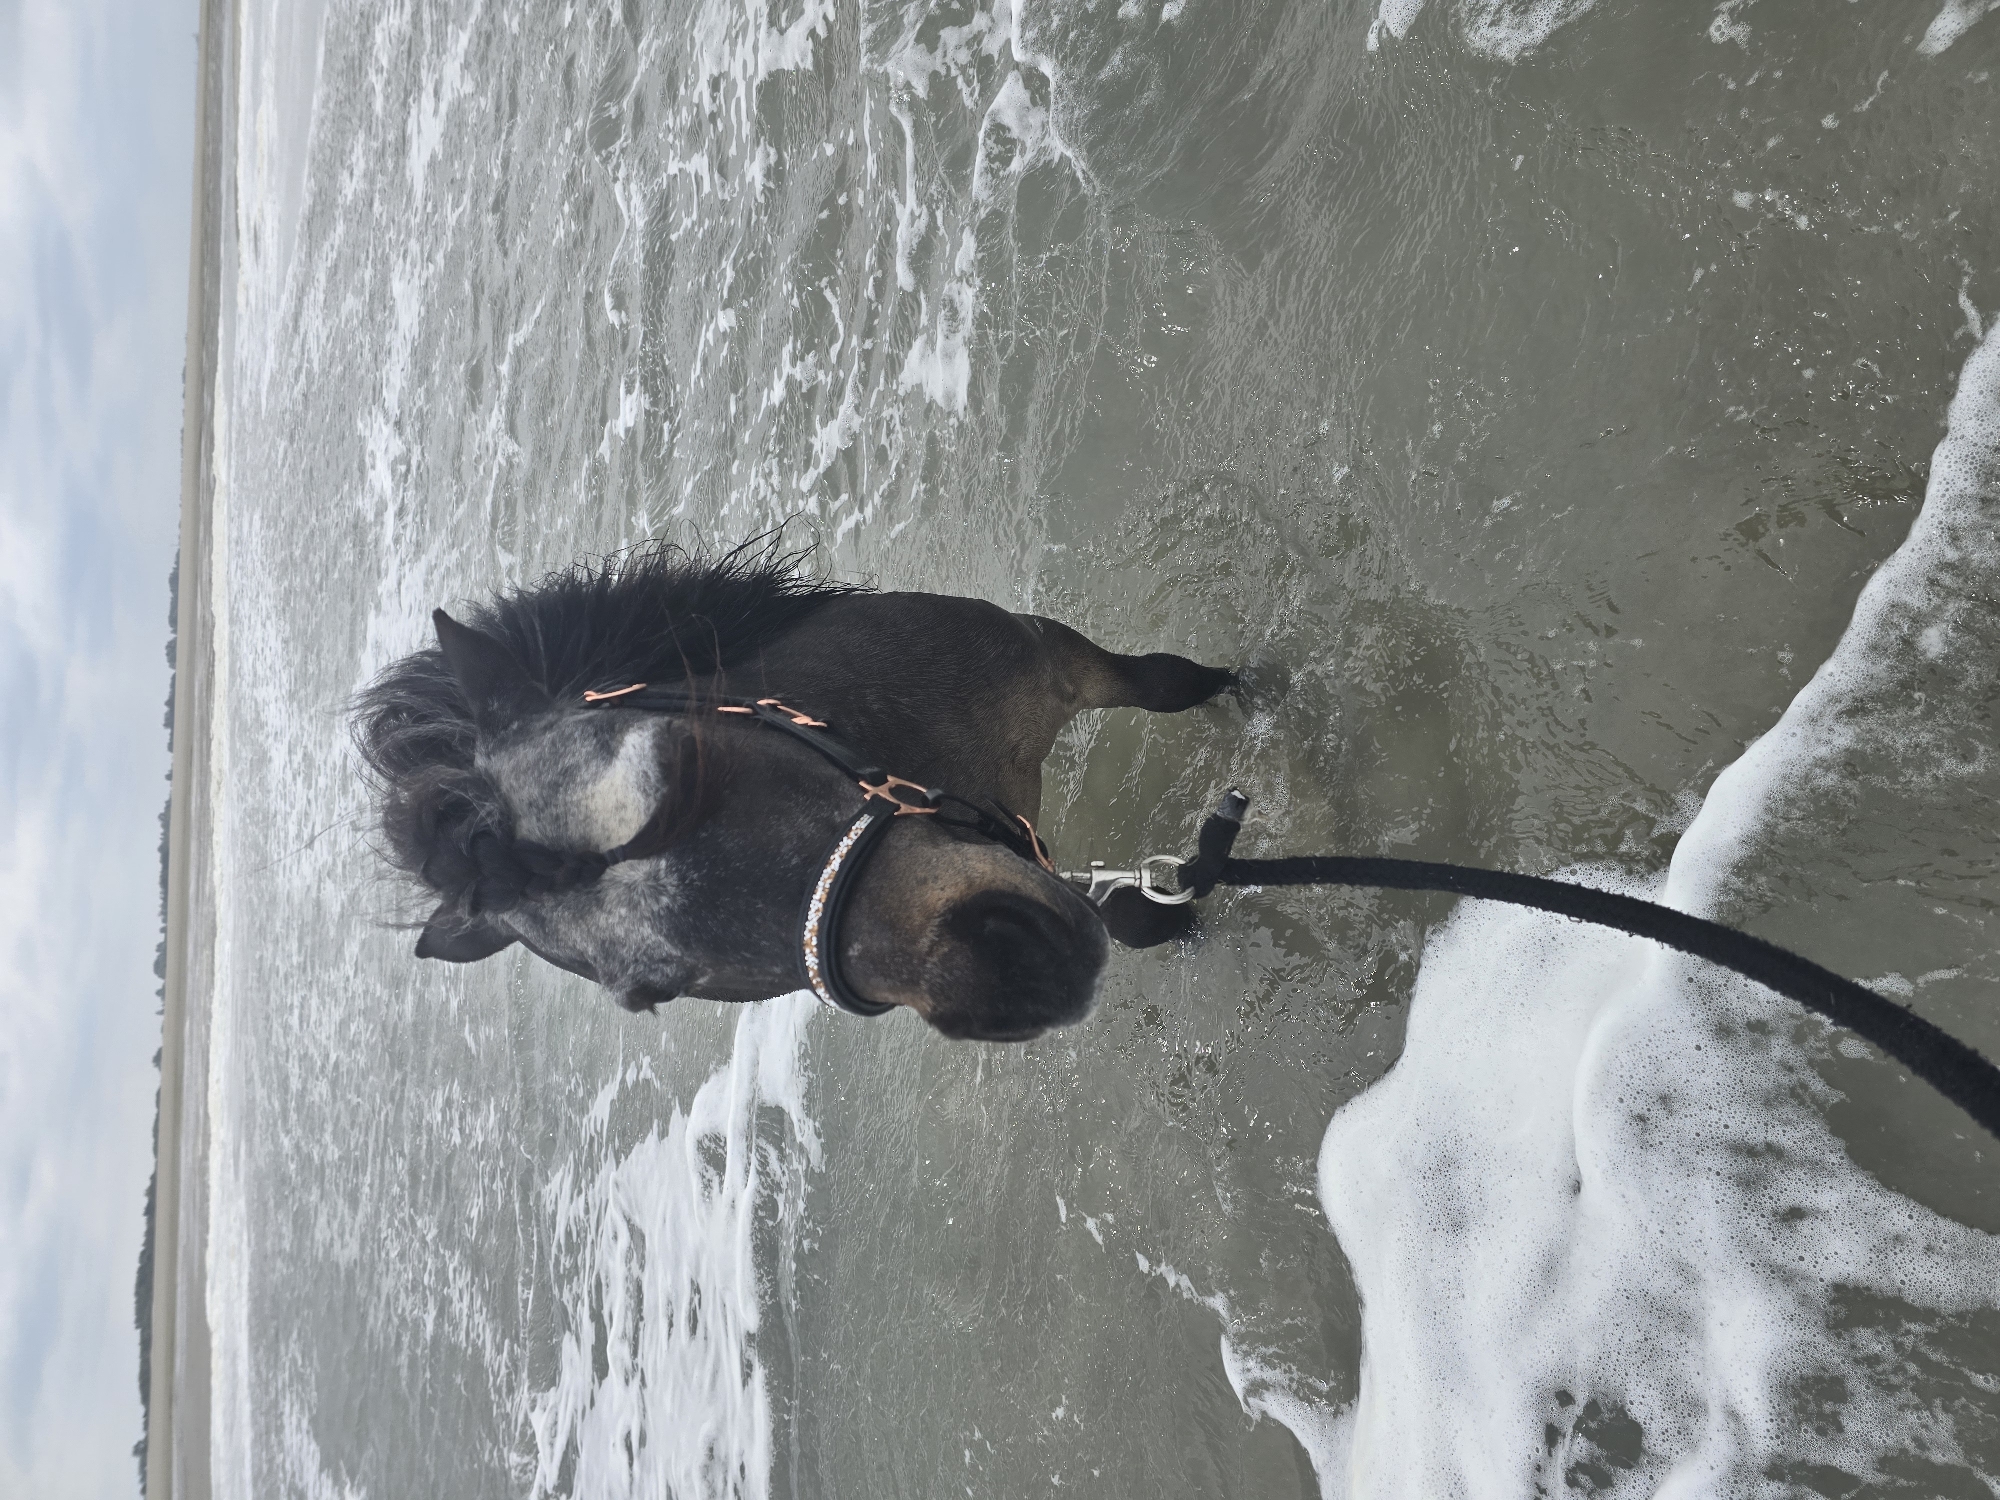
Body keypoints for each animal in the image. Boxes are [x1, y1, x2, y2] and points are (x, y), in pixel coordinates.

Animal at [353, 542, 1235, 1041]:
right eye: (657, 991)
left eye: (676, 765)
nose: (1013, 976)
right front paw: (1160, 914)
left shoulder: (1048, 655)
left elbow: (1162, 684)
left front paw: (1238, 688)